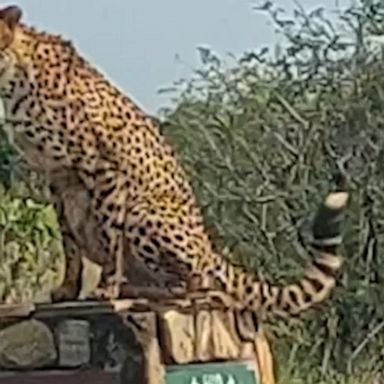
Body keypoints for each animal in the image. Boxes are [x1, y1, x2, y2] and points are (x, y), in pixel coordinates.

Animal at [0, 5, 350, 318]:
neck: (15, 75)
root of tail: (211, 250)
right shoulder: (57, 177)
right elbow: (68, 242)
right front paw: (67, 289)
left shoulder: (103, 170)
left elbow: (110, 236)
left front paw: (105, 288)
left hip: (145, 212)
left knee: (192, 287)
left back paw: (135, 289)